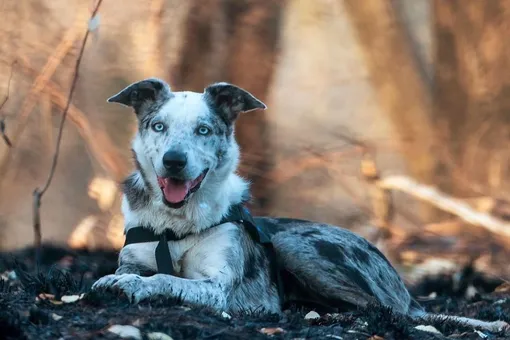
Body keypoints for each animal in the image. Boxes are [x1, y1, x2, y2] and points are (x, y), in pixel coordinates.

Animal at [92, 78, 510, 334]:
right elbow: (138, 271)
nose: (174, 161)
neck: (176, 224)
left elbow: (167, 279)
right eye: (158, 126)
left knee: (393, 311)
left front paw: (132, 285)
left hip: (297, 247)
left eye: (204, 130)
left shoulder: (217, 288)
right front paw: (122, 279)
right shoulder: (136, 256)